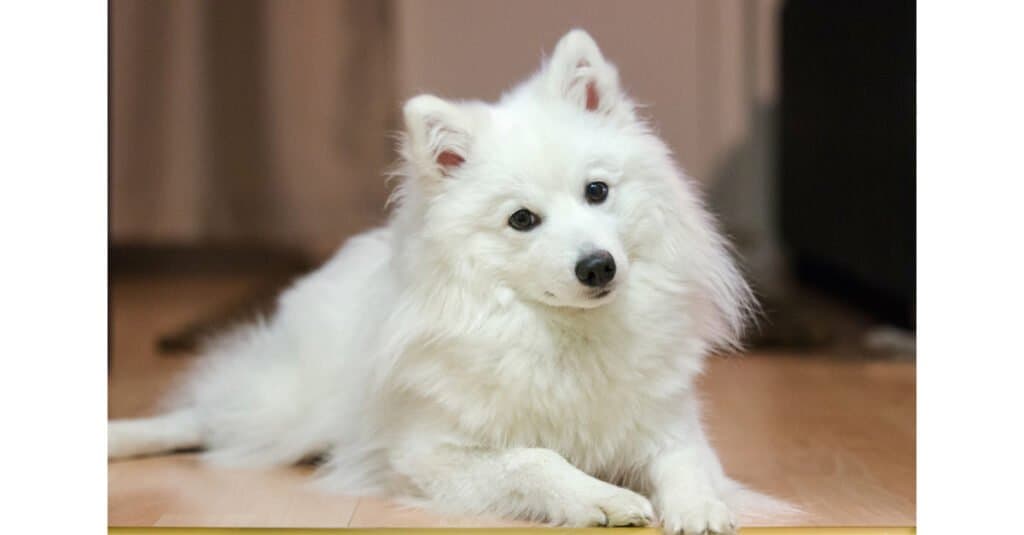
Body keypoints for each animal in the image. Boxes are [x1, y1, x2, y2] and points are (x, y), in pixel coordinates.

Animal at [110, 28, 790, 532]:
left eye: (597, 191)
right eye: (522, 219)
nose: (598, 265)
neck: (566, 338)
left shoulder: (668, 425)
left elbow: (687, 464)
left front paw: (701, 508)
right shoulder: (427, 454)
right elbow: (532, 459)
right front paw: (599, 496)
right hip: (286, 406)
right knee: (202, 417)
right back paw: (126, 436)